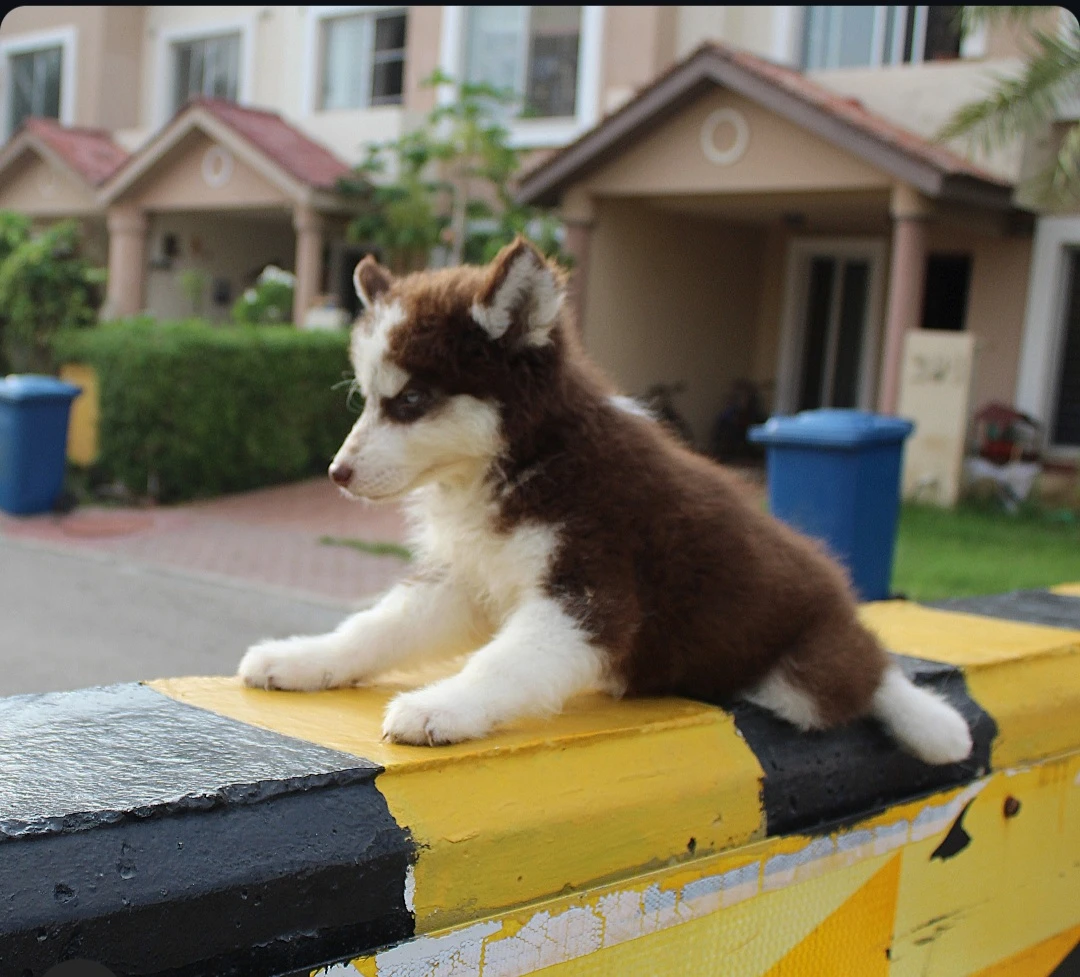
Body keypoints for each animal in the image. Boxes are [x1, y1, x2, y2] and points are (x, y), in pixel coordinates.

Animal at [240, 234, 976, 764]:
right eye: (366, 398)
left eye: (412, 400)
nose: (336, 472)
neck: (527, 459)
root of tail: (837, 596)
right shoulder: (466, 578)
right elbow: (377, 625)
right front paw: (303, 657)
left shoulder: (592, 591)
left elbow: (503, 659)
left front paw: (443, 705)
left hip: (802, 666)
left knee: (864, 676)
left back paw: (930, 722)